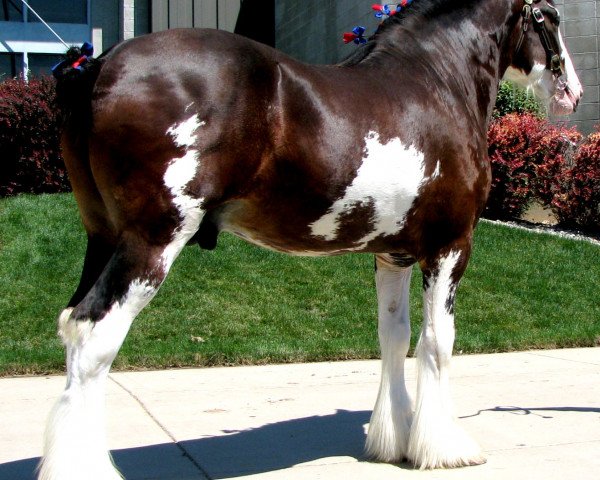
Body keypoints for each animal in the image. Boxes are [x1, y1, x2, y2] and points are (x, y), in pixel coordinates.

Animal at [37, 0, 580, 480]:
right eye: (550, 17)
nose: (572, 92)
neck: (436, 80)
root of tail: (100, 67)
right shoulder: (449, 247)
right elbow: (437, 342)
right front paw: (445, 448)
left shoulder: (394, 255)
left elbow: (394, 337)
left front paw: (394, 441)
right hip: (151, 242)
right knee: (95, 336)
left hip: (103, 238)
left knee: (72, 326)